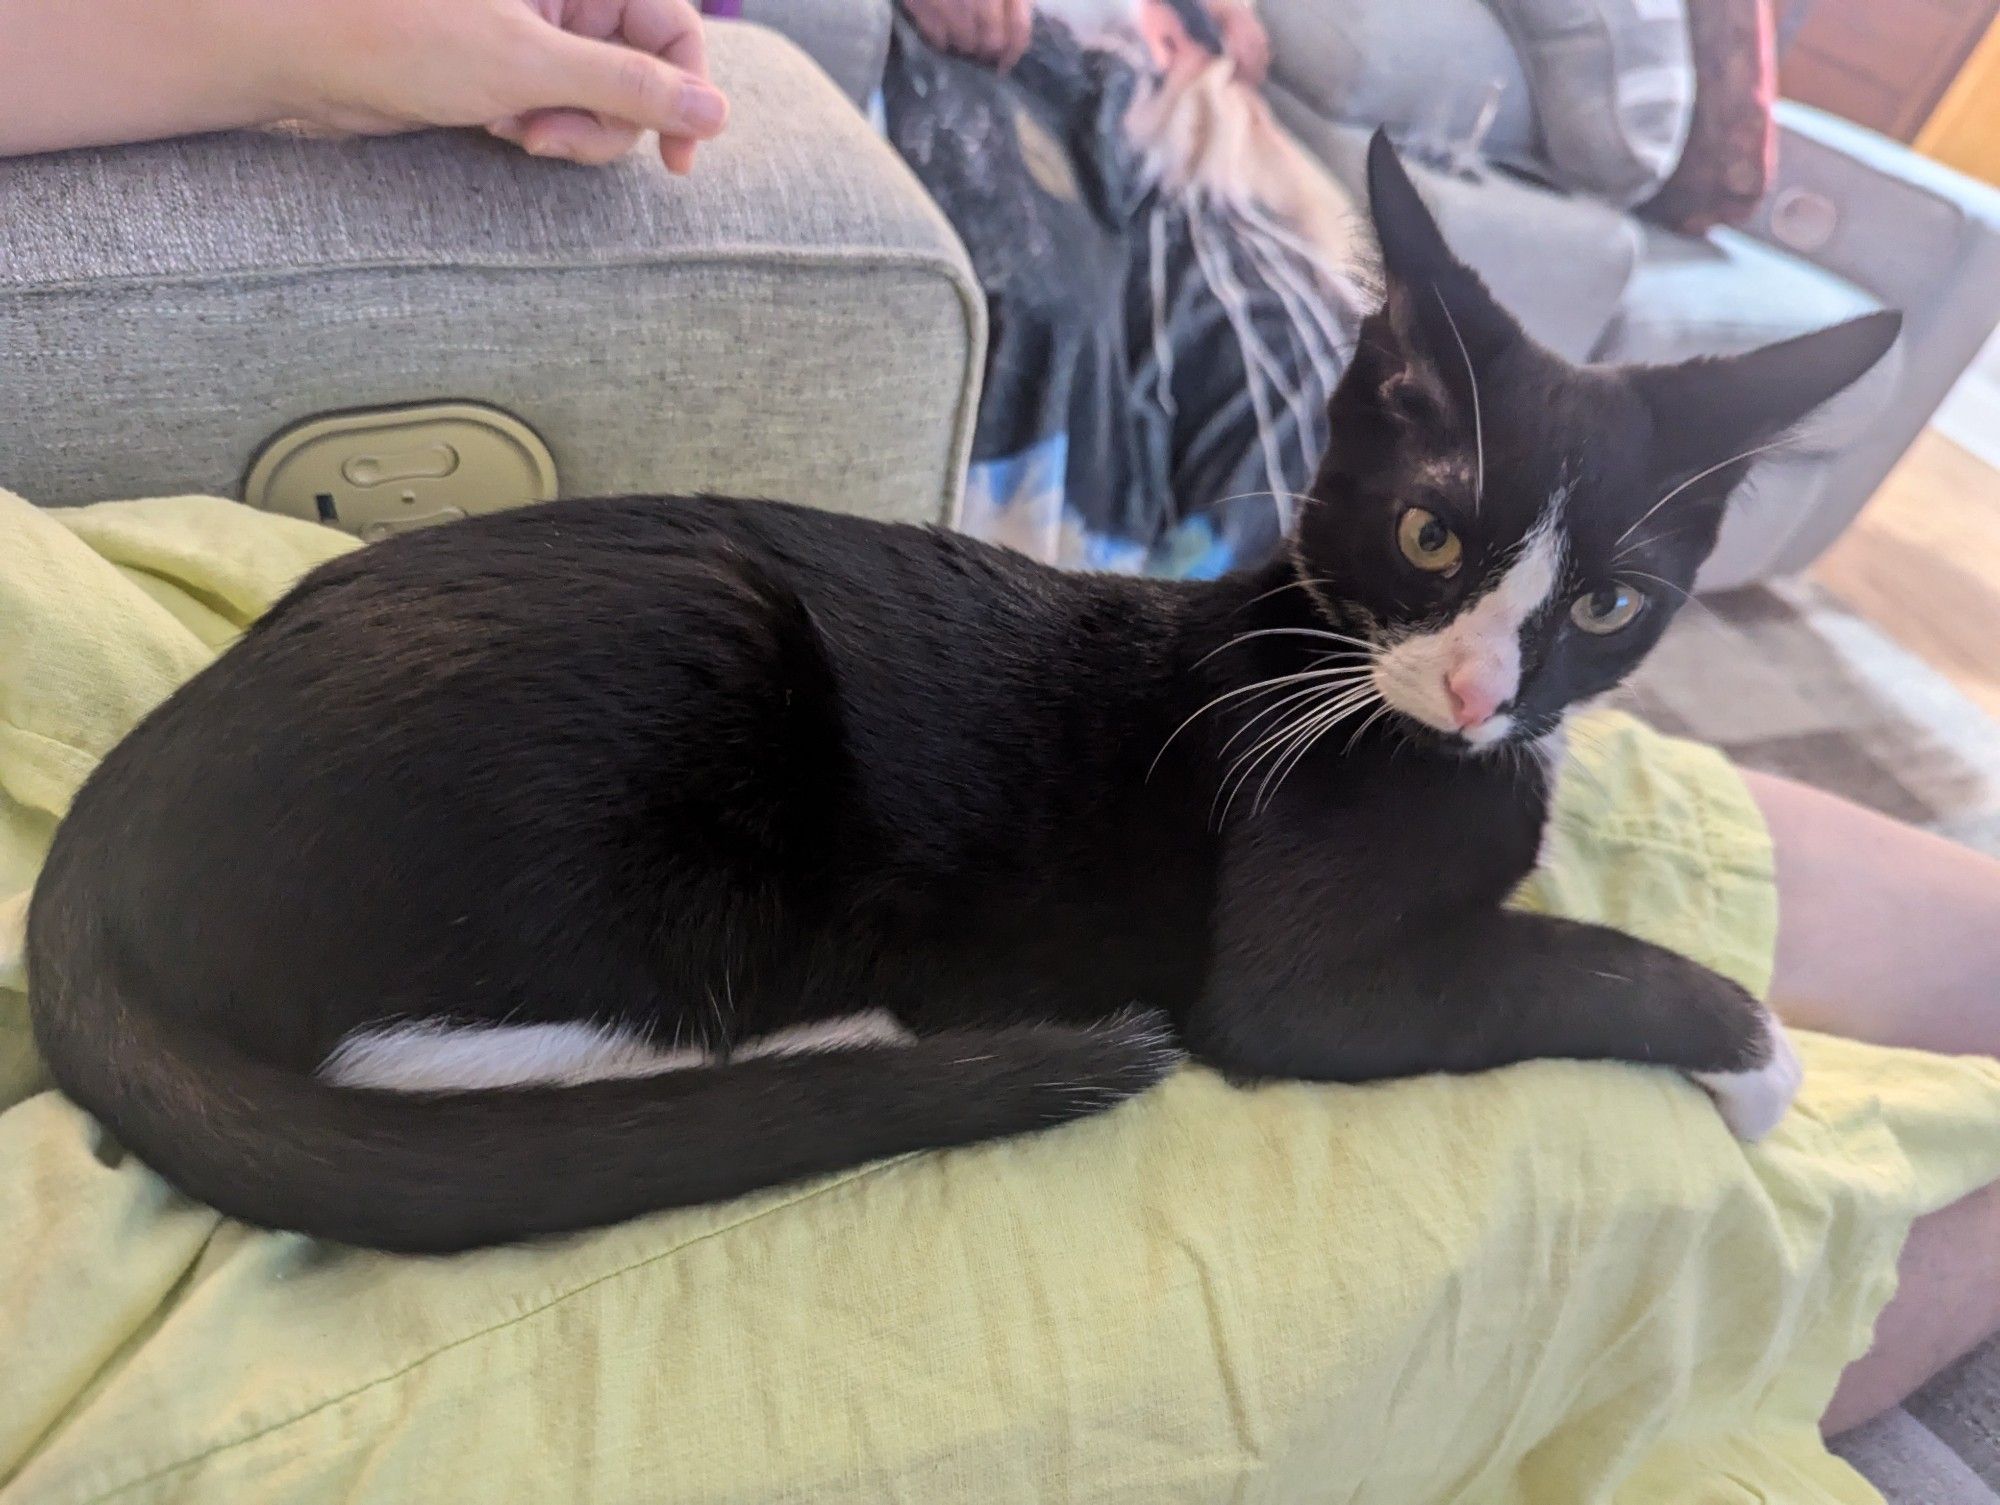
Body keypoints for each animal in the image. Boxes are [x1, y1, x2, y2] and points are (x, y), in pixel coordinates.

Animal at [23, 141, 1888, 1248]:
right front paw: (1762, 1063)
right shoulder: (1305, 976)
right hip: (687, 688)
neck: (1344, 675)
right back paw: (867, 1032)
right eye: (1432, 532)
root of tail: (116, 818)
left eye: (1610, 601)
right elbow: (1540, 966)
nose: (1481, 685)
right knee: (417, 1059)